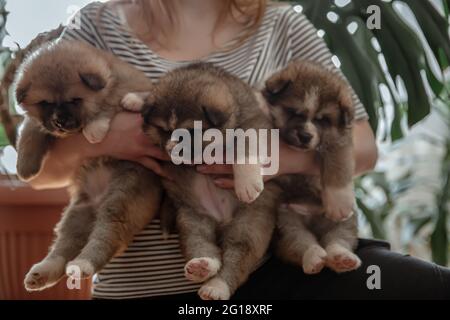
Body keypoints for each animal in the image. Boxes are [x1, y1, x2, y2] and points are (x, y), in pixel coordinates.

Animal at [14, 39, 163, 290]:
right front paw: (25, 166)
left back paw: (83, 263)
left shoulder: (127, 86)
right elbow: (31, 130)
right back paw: (43, 272)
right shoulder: (40, 123)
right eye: (45, 103)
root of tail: (99, 200)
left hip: (121, 202)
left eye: (75, 100)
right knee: (64, 246)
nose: (59, 122)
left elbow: (110, 103)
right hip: (77, 213)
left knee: (105, 237)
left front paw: (95, 128)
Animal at [135, 63, 280, 300]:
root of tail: (222, 220)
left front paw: (246, 183)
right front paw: (134, 99)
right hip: (191, 218)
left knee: (237, 257)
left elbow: (245, 145)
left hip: (249, 225)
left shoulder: (254, 123)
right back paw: (202, 266)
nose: (171, 149)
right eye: (164, 130)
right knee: (201, 243)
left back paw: (217, 286)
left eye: (191, 131)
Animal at [264, 60, 362, 276]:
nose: (305, 136)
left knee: (338, 238)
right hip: (286, 219)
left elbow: (337, 161)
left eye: (322, 120)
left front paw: (338, 201)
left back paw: (342, 257)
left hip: (346, 221)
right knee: (299, 242)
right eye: (293, 112)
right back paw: (314, 257)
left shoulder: (339, 139)